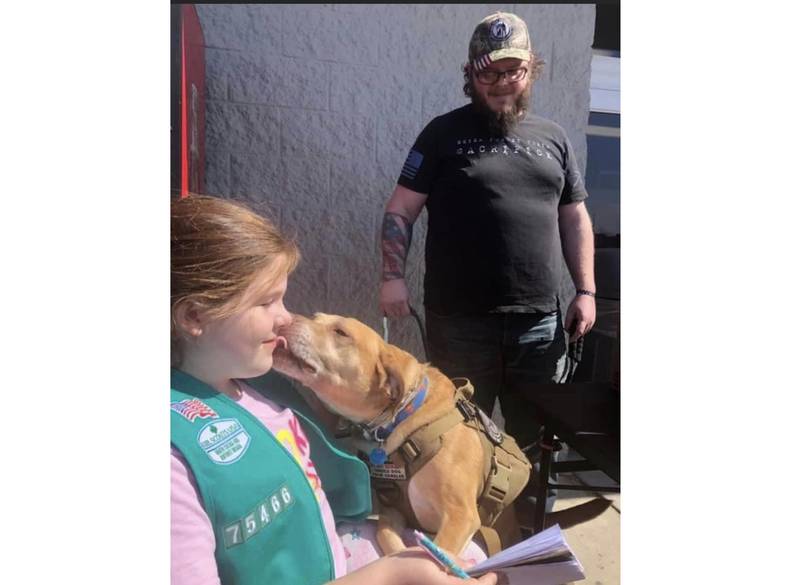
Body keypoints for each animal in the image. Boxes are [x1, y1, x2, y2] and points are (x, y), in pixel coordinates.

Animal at [270, 314, 532, 556]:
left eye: (341, 332)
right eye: (316, 317)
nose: (286, 318)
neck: (403, 419)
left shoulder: (461, 516)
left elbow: (438, 553)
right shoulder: (393, 511)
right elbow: (388, 538)